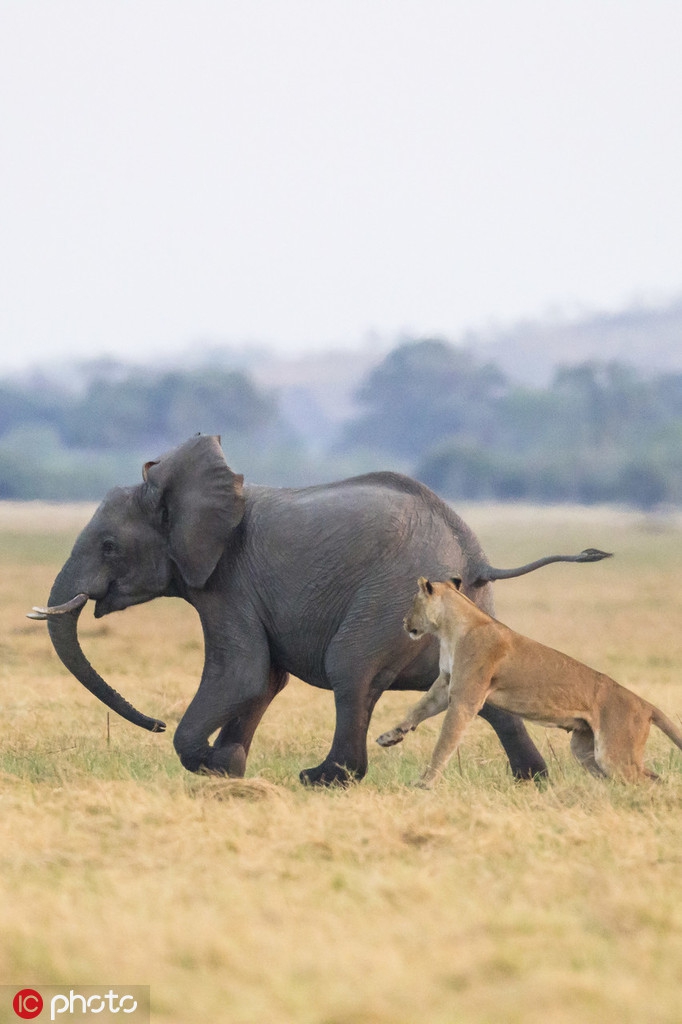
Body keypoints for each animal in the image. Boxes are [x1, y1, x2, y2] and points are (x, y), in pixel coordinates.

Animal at [29, 434, 611, 785]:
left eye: (109, 547)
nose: (151, 723)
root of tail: (476, 556)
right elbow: (264, 680)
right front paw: (227, 769)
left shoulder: (227, 582)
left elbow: (241, 674)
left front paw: (205, 764)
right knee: (478, 691)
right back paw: (532, 781)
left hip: (387, 598)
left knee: (349, 670)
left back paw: (322, 777)